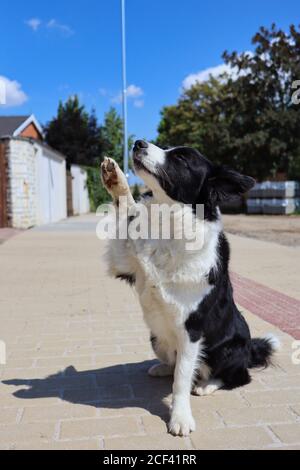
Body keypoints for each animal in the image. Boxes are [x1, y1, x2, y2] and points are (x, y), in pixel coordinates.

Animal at [101, 140, 278, 436]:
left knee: (237, 376)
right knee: (174, 362)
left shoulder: (192, 330)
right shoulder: (125, 264)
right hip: (156, 337)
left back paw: (207, 384)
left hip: (226, 349)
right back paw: (163, 368)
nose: (138, 143)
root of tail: (251, 350)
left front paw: (180, 417)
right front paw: (116, 179)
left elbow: (182, 379)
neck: (170, 226)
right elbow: (128, 212)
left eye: (182, 158)